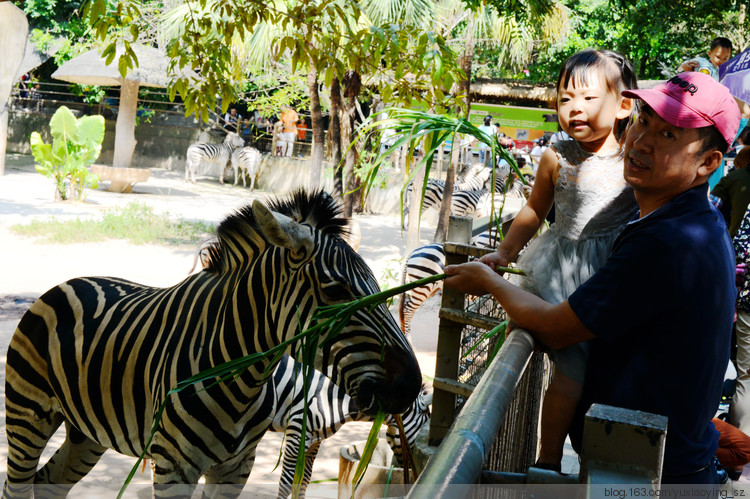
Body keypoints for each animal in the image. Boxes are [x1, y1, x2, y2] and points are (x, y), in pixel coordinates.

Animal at [272, 356, 434, 499]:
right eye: (423, 428)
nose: (411, 475)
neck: (335, 397)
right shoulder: (298, 431)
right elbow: (287, 483)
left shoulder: (314, 438)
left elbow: (303, 480)